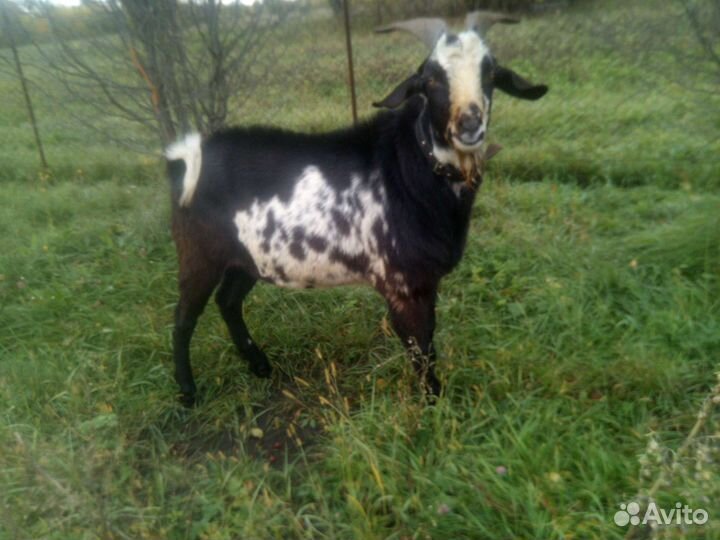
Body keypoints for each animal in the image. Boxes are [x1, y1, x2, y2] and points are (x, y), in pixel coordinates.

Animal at [165, 12, 548, 406]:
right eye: (430, 79)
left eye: (490, 72)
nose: (469, 124)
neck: (409, 167)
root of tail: (187, 156)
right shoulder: (402, 284)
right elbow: (421, 349)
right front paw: (435, 406)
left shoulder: (426, 282)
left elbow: (427, 344)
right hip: (199, 254)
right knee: (183, 319)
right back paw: (188, 393)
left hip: (248, 258)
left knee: (228, 301)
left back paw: (259, 366)